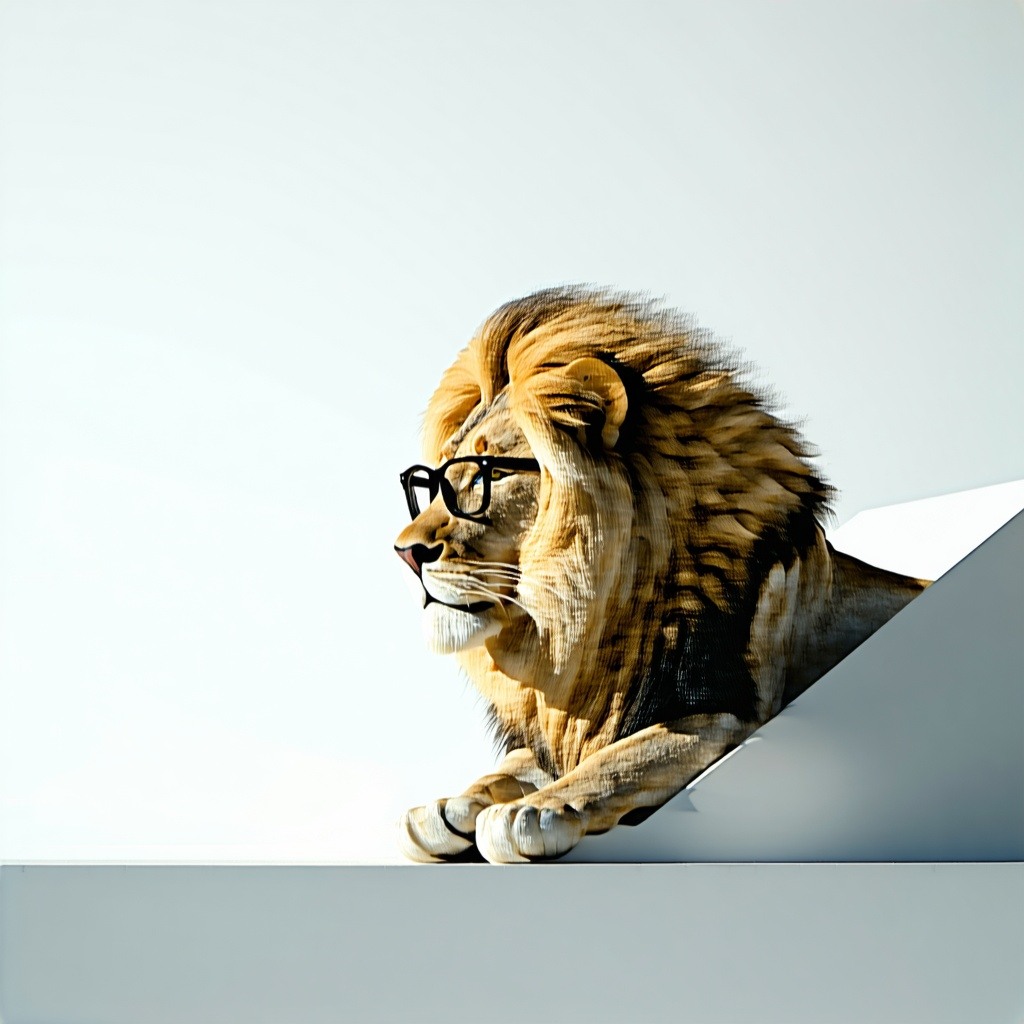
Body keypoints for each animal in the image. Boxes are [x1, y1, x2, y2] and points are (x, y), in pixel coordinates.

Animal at [394, 287, 928, 863]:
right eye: (432, 481)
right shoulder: (571, 724)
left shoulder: (732, 715)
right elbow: (517, 765)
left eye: (489, 472)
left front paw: (534, 809)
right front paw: (451, 803)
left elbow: (619, 759)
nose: (406, 553)